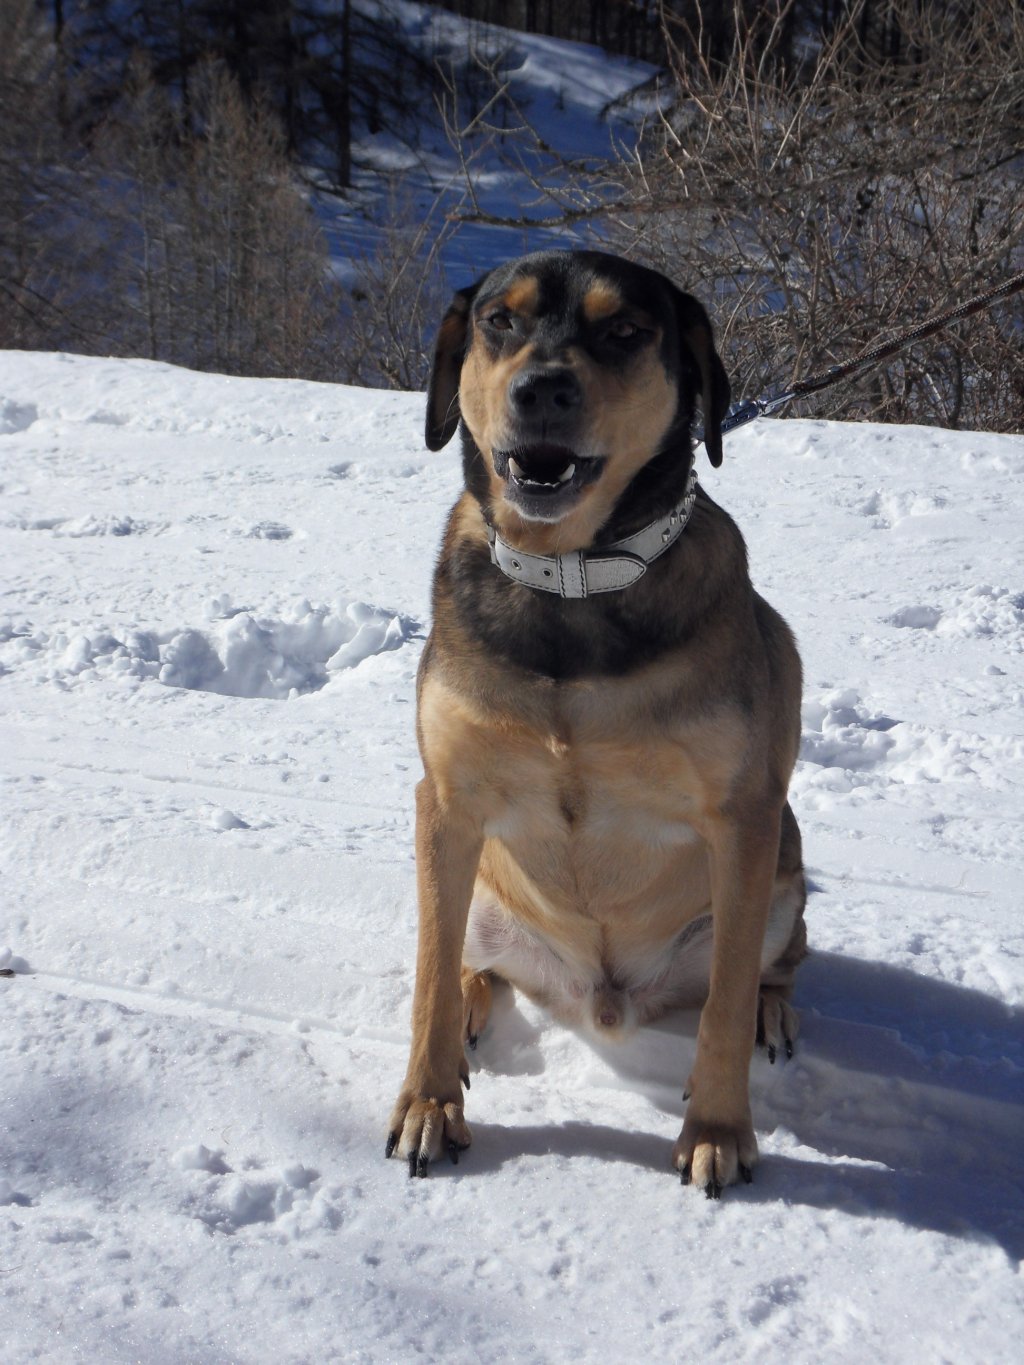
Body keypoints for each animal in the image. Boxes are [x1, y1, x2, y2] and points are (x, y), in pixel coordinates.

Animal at [385, 253, 808, 1195]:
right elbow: (427, 975)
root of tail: (601, 996)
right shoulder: (447, 803)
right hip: (483, 894)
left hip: (783, 875)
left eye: (624, 331)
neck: (571, 577)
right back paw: (471, 1009)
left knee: (768, 963)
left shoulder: (742, 816)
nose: (543, 388)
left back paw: (776, 1011)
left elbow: (725, 1002)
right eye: (500, 321)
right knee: (464, 956)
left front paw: (717, 1128)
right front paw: (428, 1105)